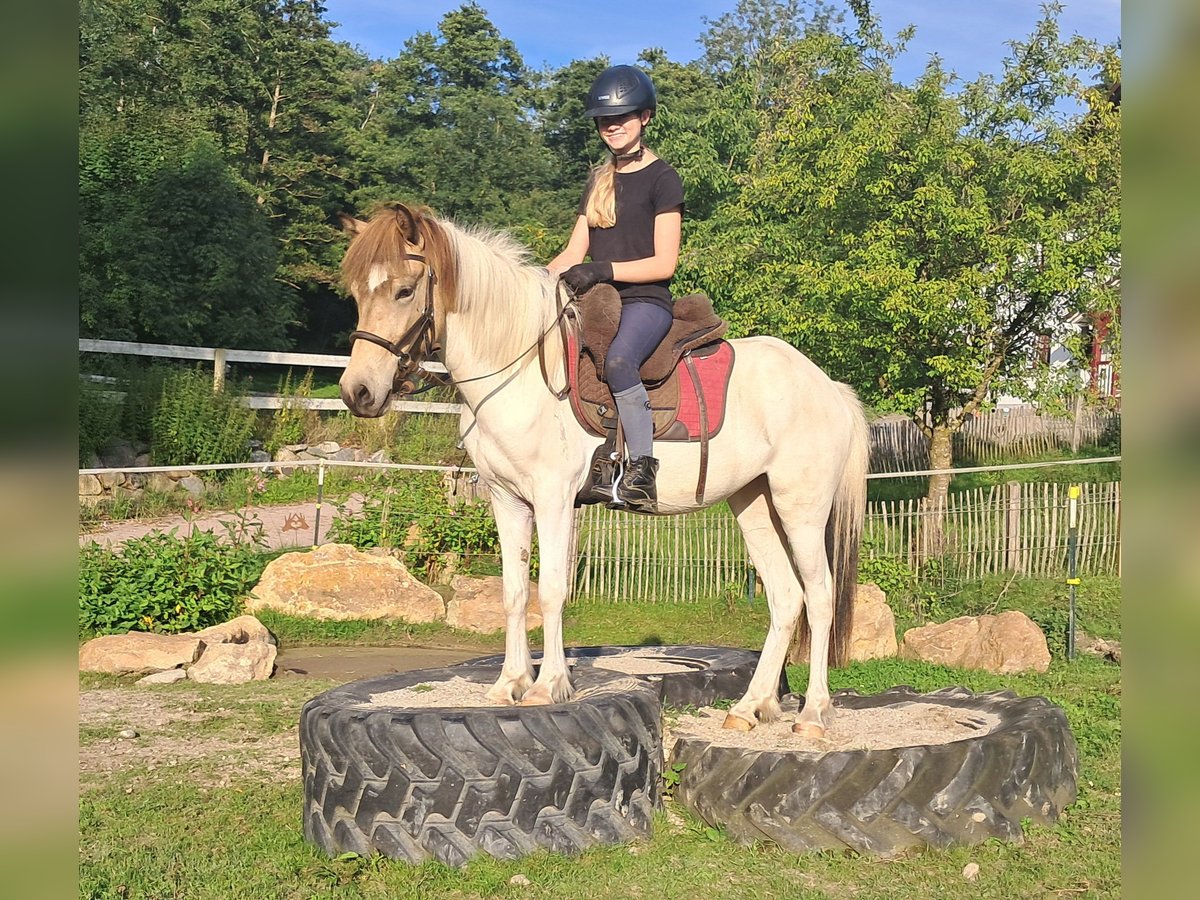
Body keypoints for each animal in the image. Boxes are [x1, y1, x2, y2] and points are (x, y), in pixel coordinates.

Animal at [337, 203, 868, 738]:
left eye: (405, 291)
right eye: (357, 293)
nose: (357, 392)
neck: (518, 371)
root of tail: (828, 386)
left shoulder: (553, 498)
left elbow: (551, 590)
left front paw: (547, 686)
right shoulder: (507, 500)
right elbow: (513, 592)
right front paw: (508, 684)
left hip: (801, 509)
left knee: (819, 596)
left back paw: (813, 714)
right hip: (754, 504)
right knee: (786, 598)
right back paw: (750, 706)